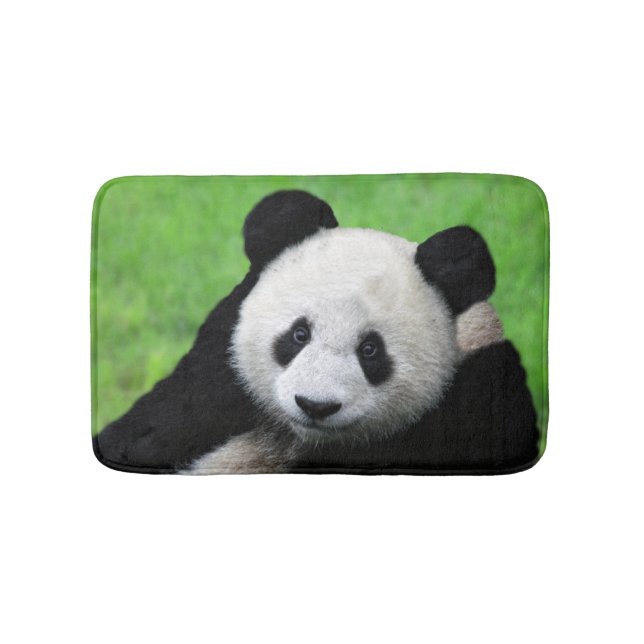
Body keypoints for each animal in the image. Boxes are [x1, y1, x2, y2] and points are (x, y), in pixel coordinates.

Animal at [94, 190, 539, 475]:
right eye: (298, 335)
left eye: (371, 350)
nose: (315, 405)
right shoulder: (217, 372)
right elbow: (158, 422)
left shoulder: (479, 400)